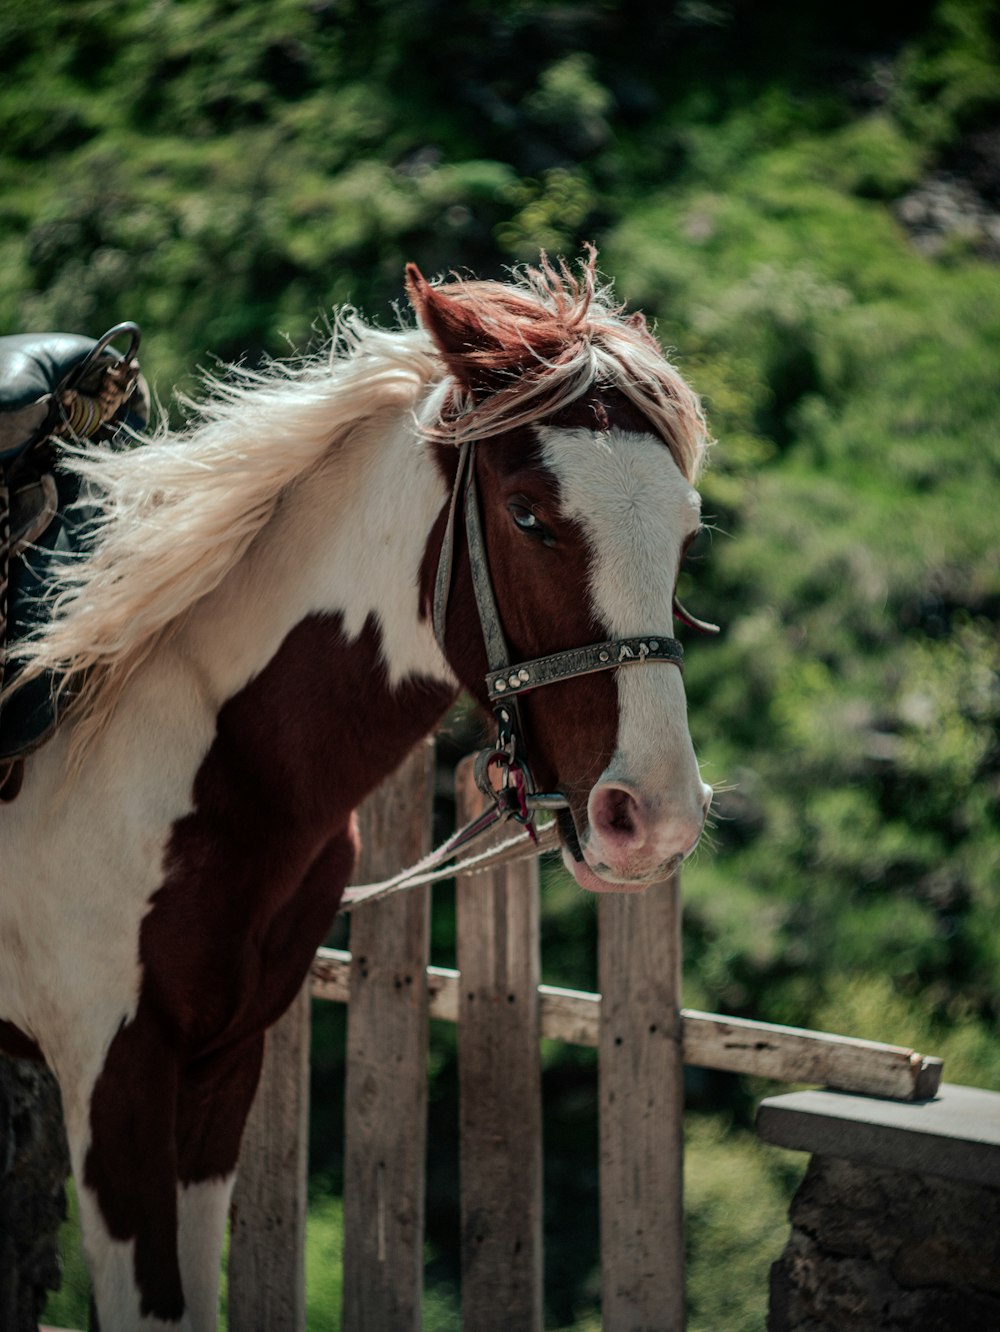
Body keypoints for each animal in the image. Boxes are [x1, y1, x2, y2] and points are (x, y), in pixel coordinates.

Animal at [0, 254, 713, 1326]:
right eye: (528, 515)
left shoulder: (221, 1071)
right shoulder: (112, 1079)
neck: (224, 760)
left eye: (688, 531)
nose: (655, 815)